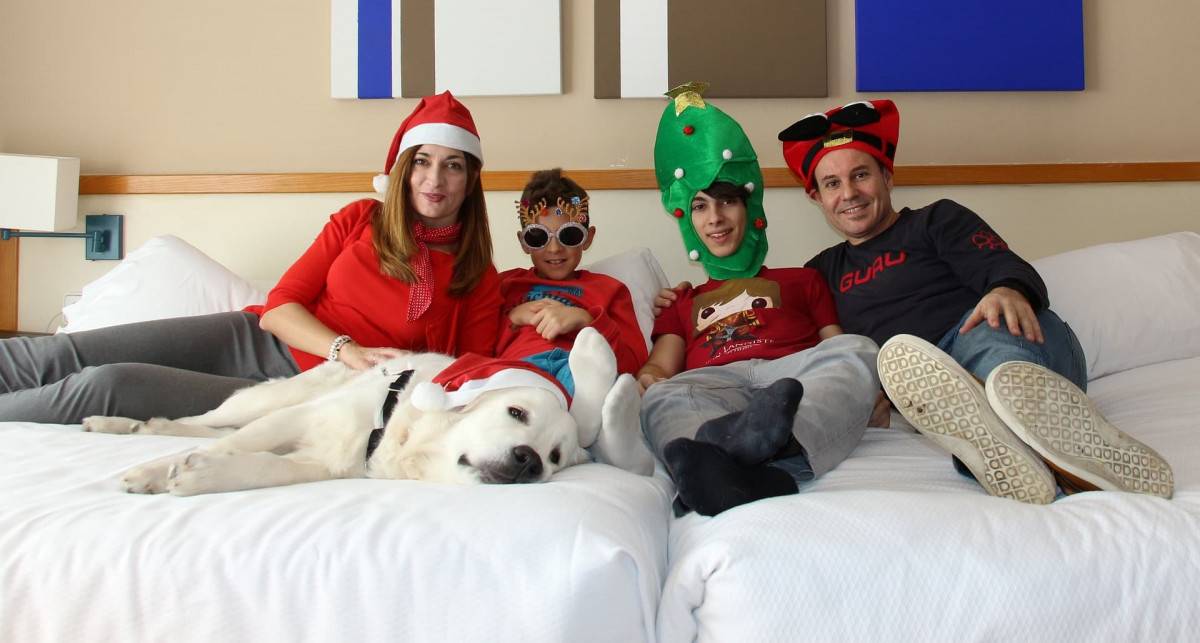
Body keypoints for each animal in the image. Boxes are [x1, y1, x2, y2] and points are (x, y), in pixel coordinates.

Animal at [84, 328, 652, 494]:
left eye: (555, 457)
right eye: (516, 414)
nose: (528, 462)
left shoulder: (329, 462)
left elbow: (262, 467)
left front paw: (201, 475)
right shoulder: (300, 420)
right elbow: (233, 445)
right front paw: (151, 473)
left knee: (199, 431)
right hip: (269, 399)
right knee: (205, 423)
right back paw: (119, 424)